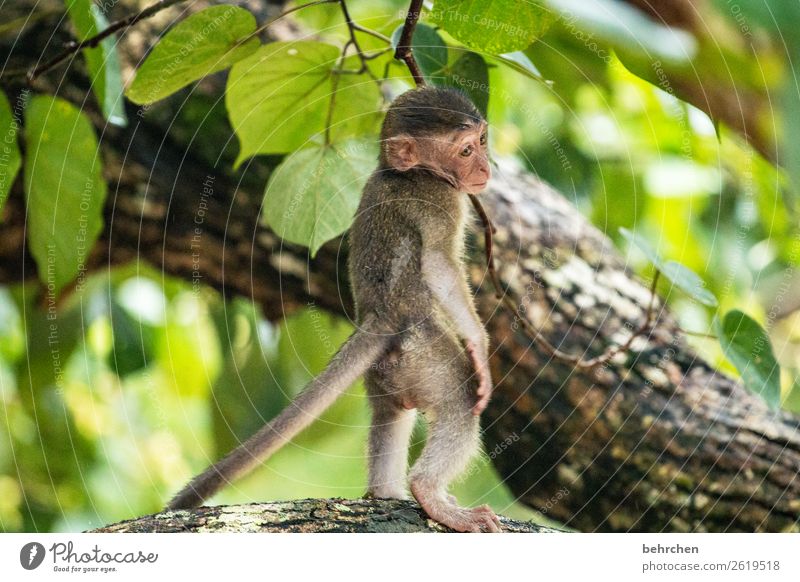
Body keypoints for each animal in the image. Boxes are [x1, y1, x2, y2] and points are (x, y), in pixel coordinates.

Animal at [167, 85, 500, 532]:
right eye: (465, 150)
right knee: (460, 400)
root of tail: (379, 319)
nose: (484, 165)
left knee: (390, 412)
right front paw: (479, 347)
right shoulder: (441, 201)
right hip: (425, 352)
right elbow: (438, 264)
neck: (406, 172)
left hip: (389, 368)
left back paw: (386, 492)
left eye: (481, 141)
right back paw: (428, 492)